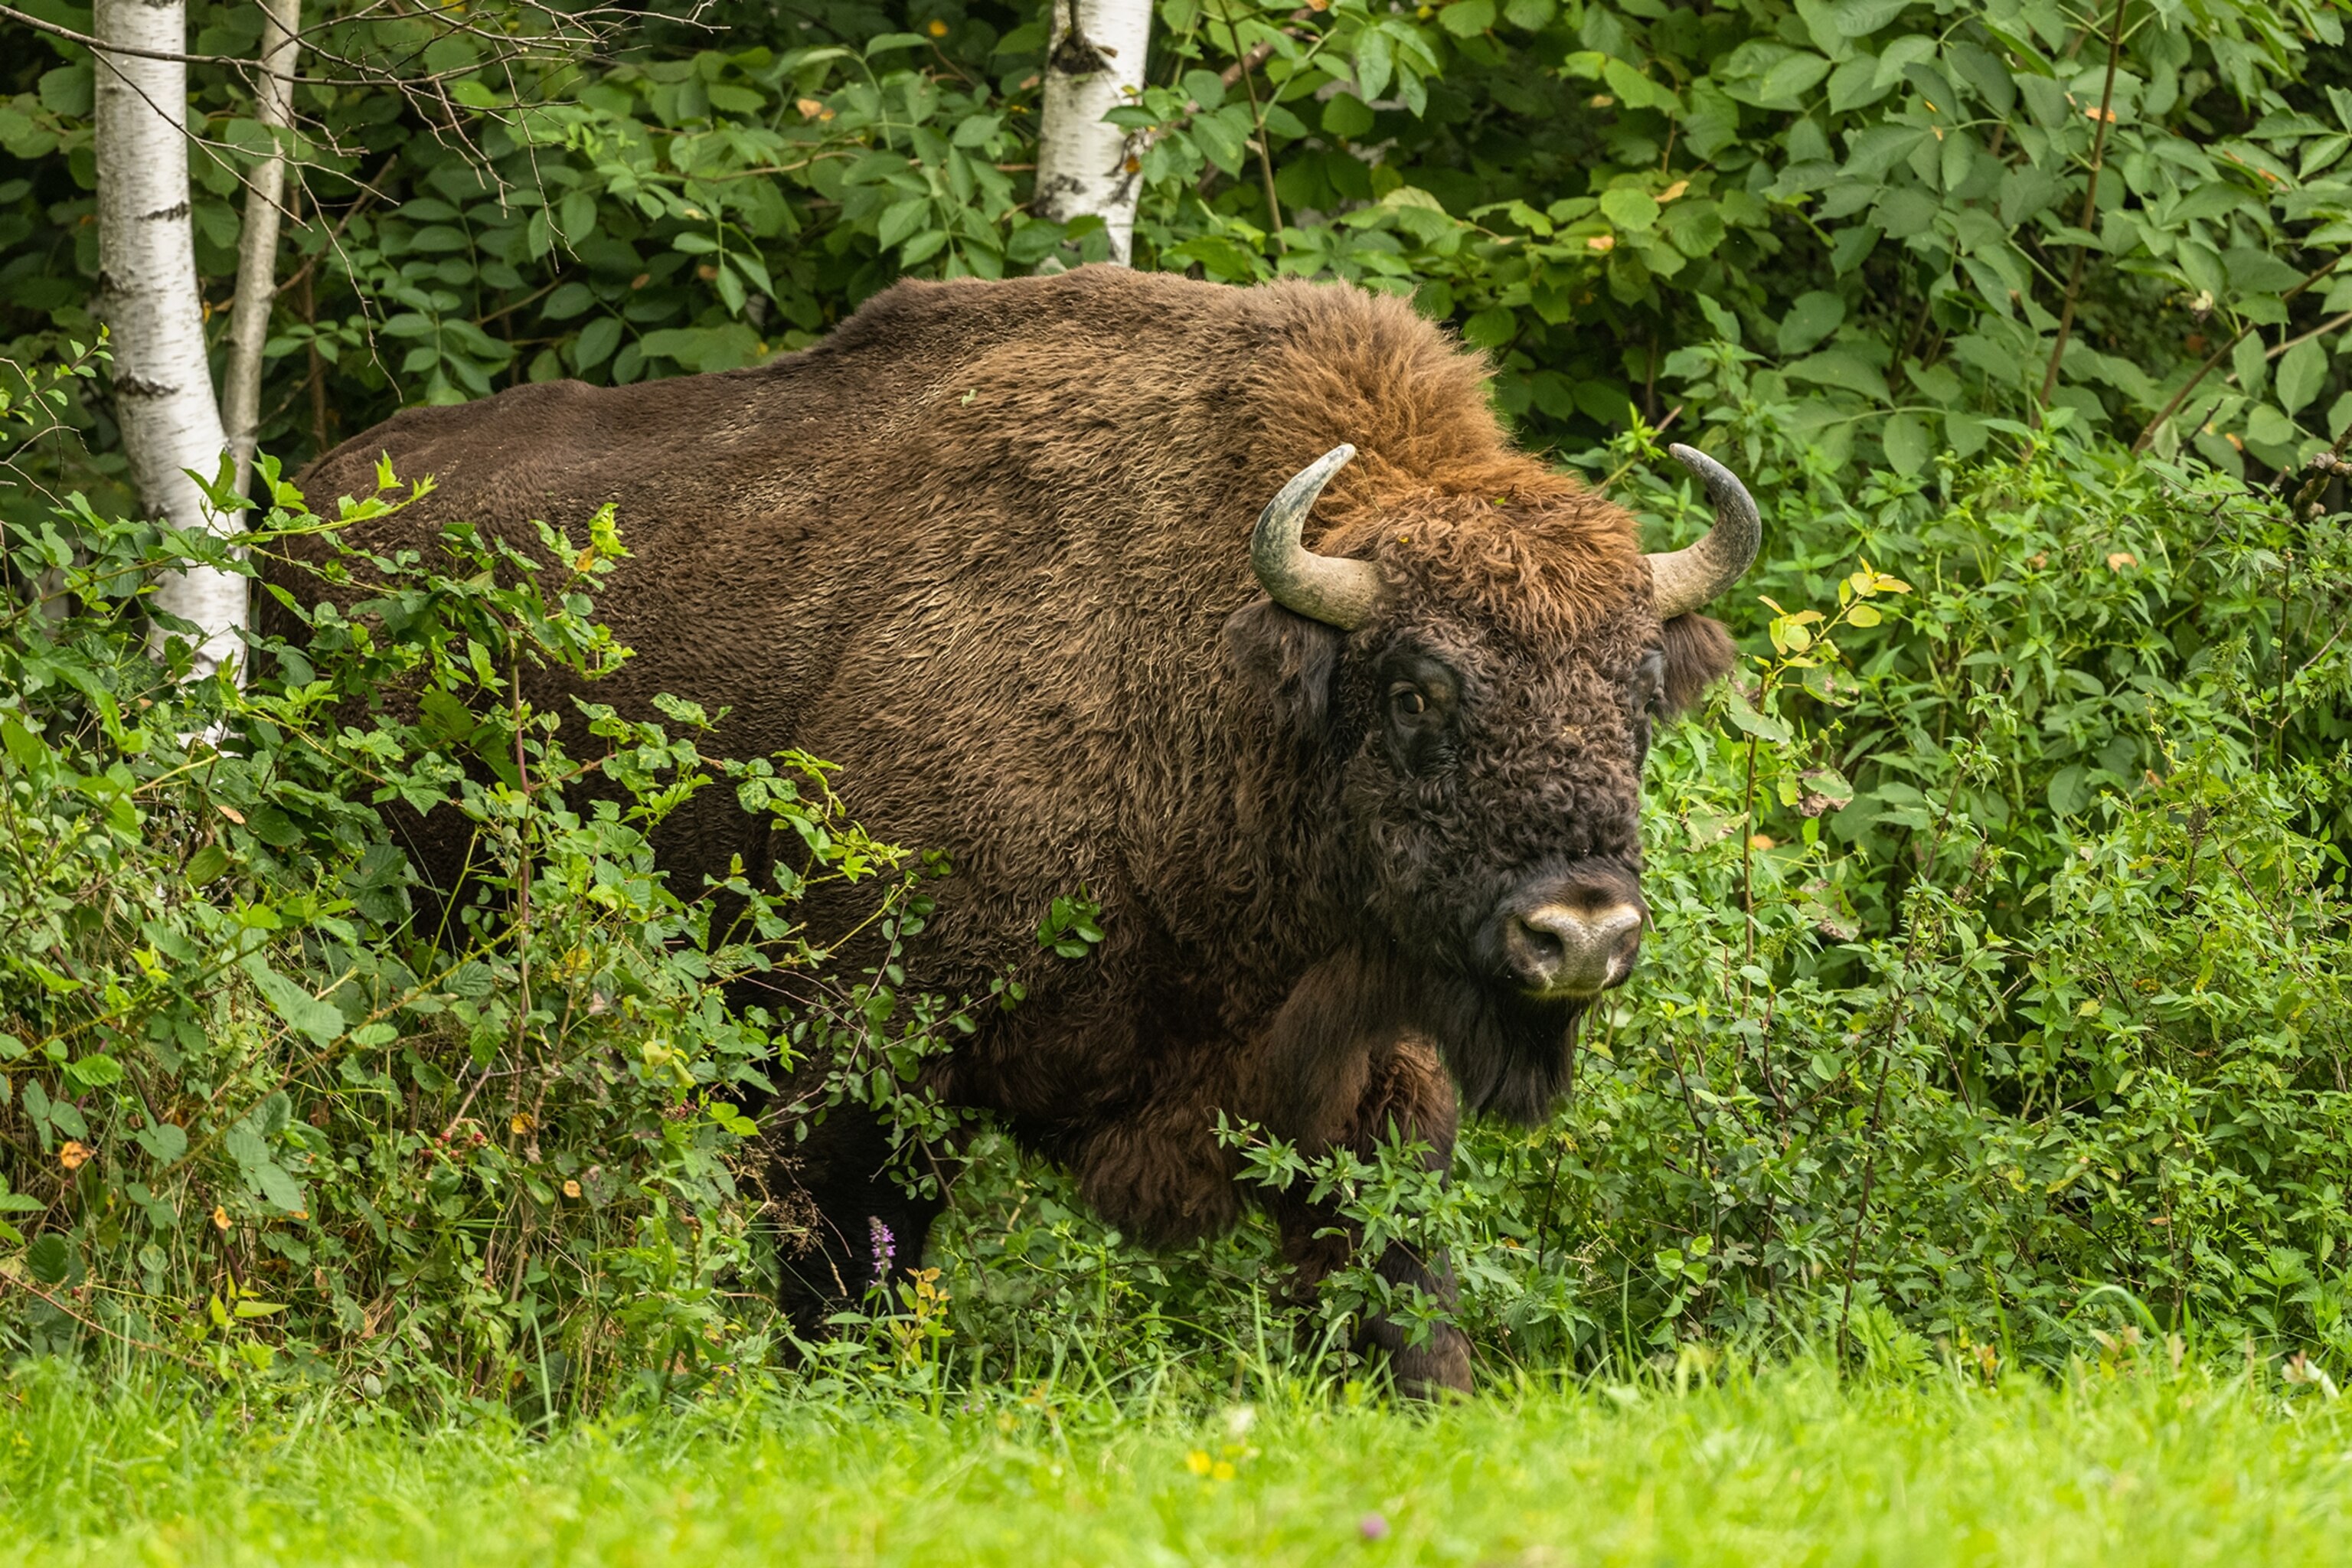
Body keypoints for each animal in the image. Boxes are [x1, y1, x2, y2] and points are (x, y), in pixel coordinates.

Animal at [278, 266, 1756, 1394]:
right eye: (1414, 690)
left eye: (1641, 687)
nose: (1580, 931)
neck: (1196, 673)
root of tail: (312, 502)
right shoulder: (865, 1050)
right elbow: (843, 1259)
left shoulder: (1358, 1063)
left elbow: (1398, 1266)